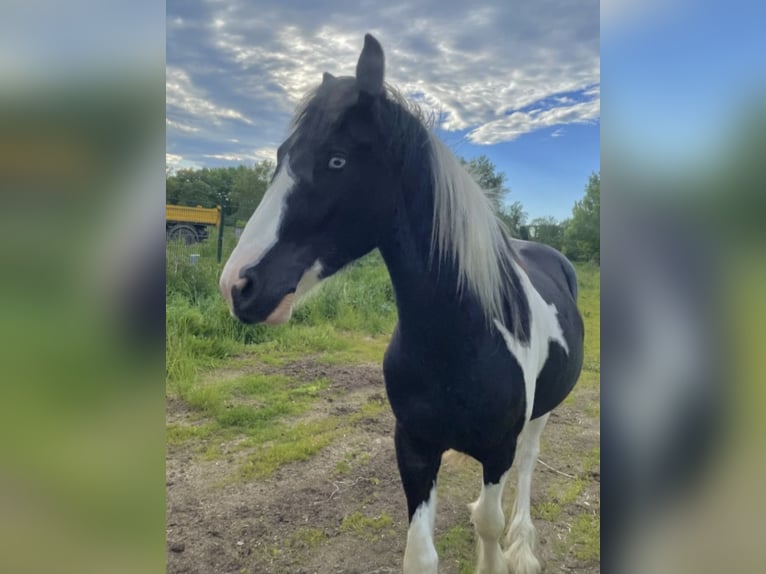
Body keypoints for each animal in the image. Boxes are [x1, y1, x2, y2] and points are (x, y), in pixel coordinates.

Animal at [219, 34, 584, 574]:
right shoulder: (413, 447)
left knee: (528, 466)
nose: (238, 285)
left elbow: (490, 521)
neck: (461, 339)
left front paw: (498, 551)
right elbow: (422, 553)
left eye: (337, 159)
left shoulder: (496, 449)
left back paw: (522, 544)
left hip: (539, 420)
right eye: (283, 155)